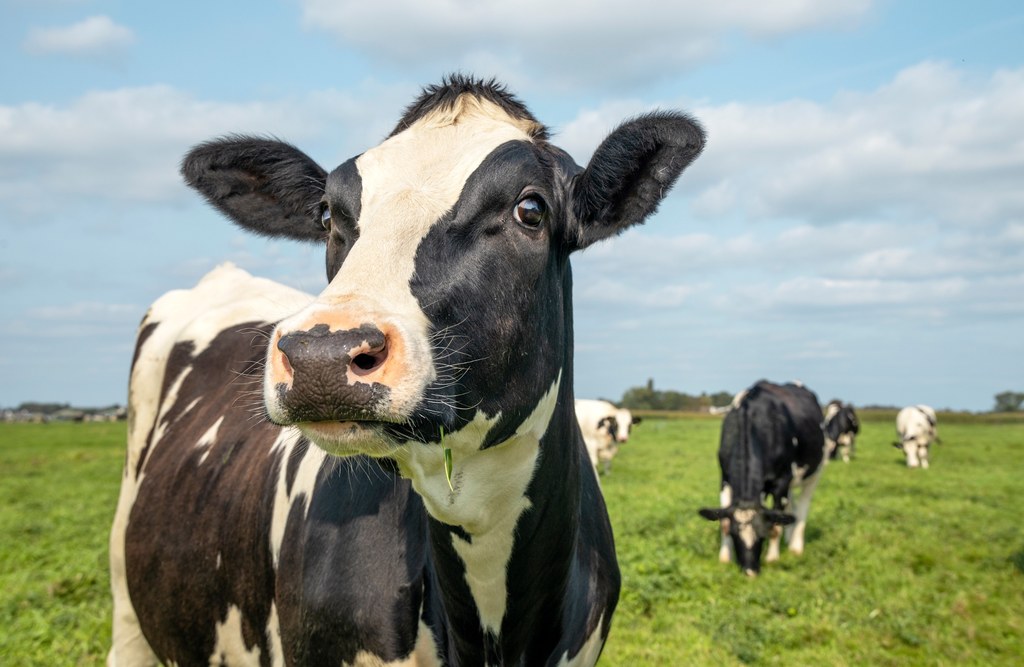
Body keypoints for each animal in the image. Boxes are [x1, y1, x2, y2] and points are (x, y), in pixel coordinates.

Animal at [700, 383, 827, 577]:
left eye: (762, 535)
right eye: (734, 535)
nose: (750, 572)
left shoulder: (781, 481)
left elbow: (775, 525)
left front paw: (772, 558)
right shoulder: (725, 479)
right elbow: (724, 522)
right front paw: (725, 558)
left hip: (815, 472)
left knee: (803, 506)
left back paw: (796, 547)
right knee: (790, 509)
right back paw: (788, 538)